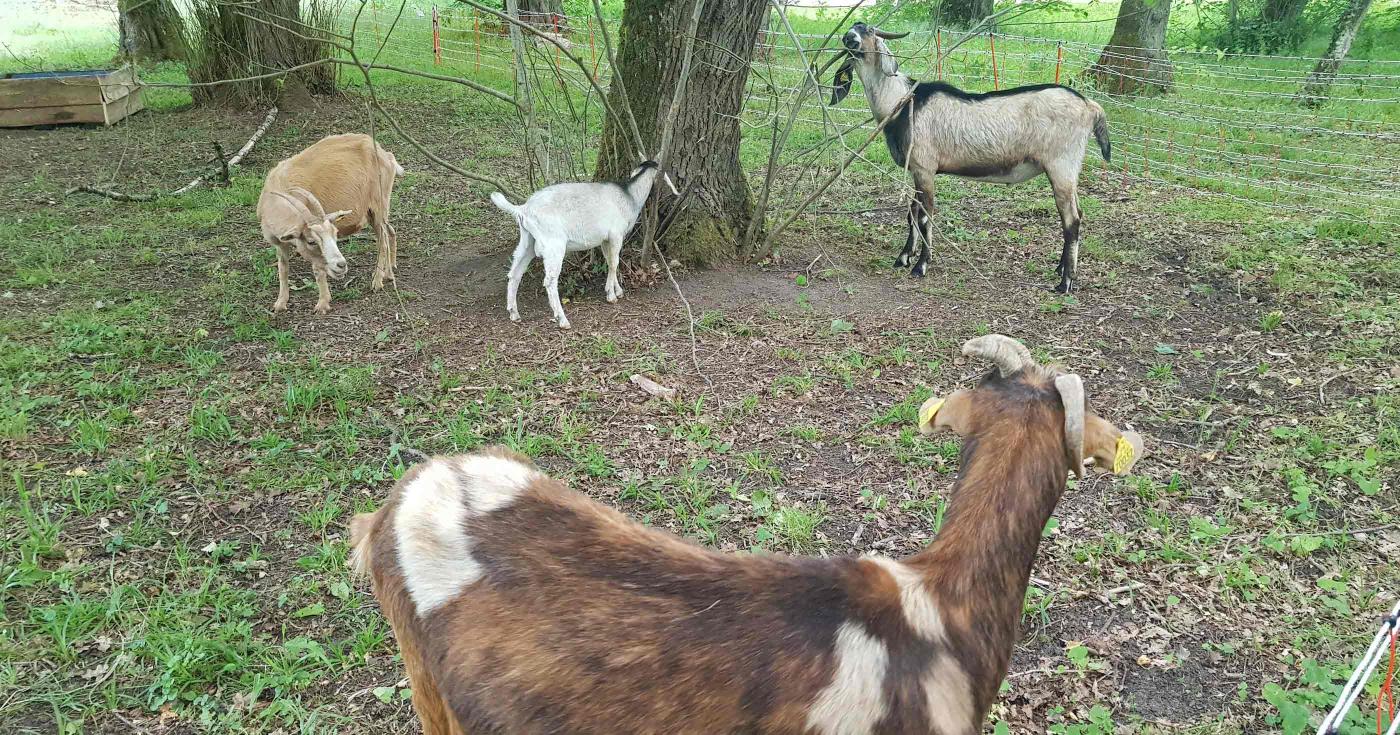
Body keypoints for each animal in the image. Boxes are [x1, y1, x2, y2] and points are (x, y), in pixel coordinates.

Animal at [259, 133, 406, 313]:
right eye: (311, 241)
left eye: (335, 235)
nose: (341, 265)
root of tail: (386, 155)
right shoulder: (280, 243)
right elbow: (283, 267)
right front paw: (280, 303)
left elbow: (318, 271)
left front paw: (322, 303)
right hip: (375, 211)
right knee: (389, 231)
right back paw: (389, 273)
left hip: (379, 204)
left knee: (383, 240)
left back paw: (377, 281)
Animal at [492, 163, 677, 331]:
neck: (628, 196)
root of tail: (523, 209)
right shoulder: (615, 235)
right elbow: (614, 263)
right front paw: (611, 295)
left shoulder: (605, 239)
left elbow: (610, 262)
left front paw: (616, 290)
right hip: (553, 244)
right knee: (550, 281)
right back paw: (562, 319)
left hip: (528, 241)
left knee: (514, 273)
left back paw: (514, 313)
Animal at [828, 22, 1114, 292]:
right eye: (853, 28)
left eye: (868, 30)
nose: (849, 37)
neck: (902, 102)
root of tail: (1090, 106)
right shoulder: (915, 170)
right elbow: (912, 212)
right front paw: (903, 257)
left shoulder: (924, 167)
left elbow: (925, 215)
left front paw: (921, 266)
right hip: (1069, 170)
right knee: (1077, 213)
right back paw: (1061, 269)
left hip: (1062, 165)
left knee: (1071, 220)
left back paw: (1065, 282)